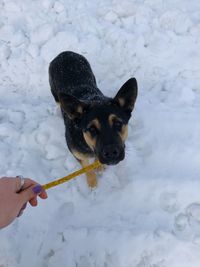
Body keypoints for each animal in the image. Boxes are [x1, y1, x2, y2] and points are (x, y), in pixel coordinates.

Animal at [49, 50, 138, 188]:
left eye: (118, 123)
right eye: (91, 129)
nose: (111, 153)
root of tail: (64, 52)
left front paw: (99, 167)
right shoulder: (77, 154)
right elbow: (87, 167)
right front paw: (92, 183)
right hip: (55, 93)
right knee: (58, 102)